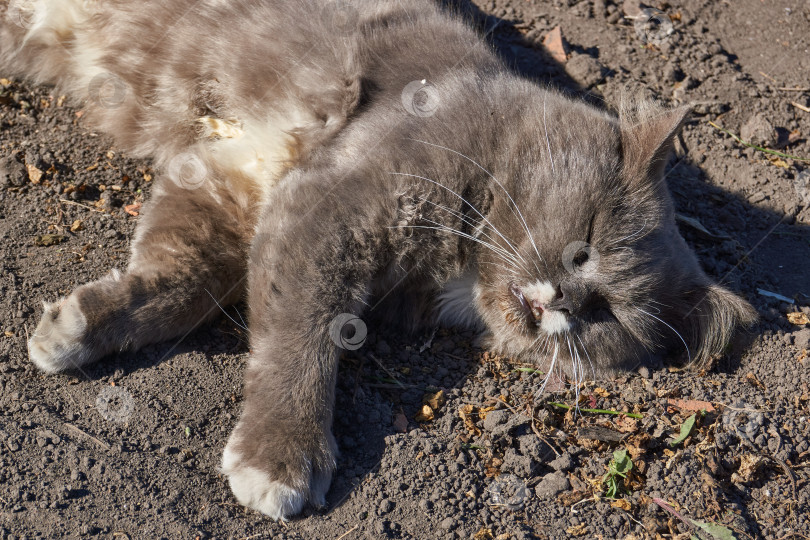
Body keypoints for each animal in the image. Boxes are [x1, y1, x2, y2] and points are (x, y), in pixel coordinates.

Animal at [3, 0, 756, 520]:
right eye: (586, 243)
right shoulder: (331, 204)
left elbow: (178, 283)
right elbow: (304, 333)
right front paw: (281, 456)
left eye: (610, 315)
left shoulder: (230, 177)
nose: (561, 303)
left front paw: (75, 327)